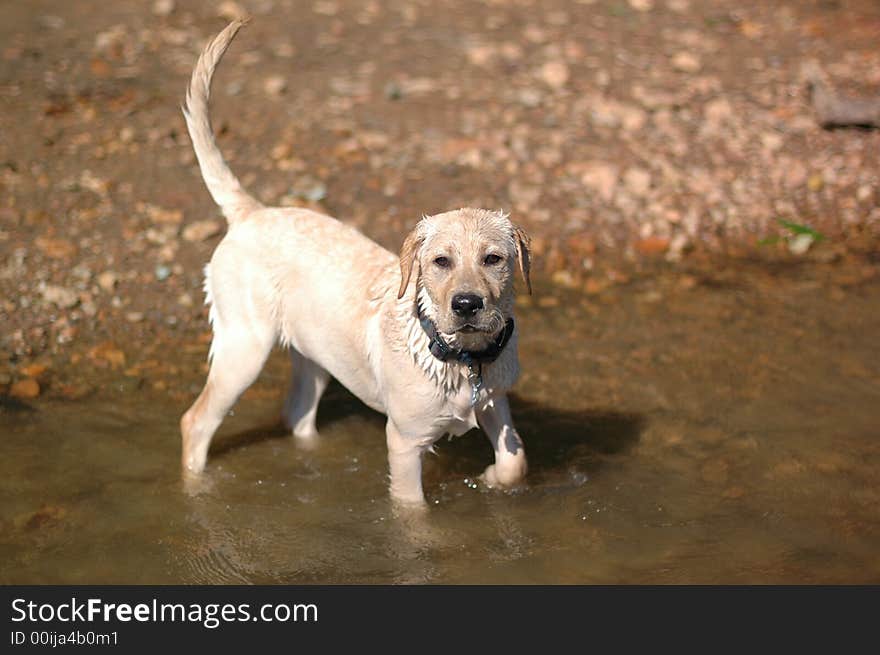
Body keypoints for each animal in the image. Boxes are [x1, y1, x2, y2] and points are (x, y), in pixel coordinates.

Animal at [179, 18, 528, 504]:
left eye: (493, 258)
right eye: (440, 261)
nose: (466, 305)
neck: (463, 361)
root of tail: (252, 212)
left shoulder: (497, 401)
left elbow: (516, 461)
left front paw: (495, 477)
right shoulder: (404, 441)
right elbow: (411, 509)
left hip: (315, 355)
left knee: (297, 415)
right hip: (244, 347)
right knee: (195, 422)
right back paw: (196, 487)